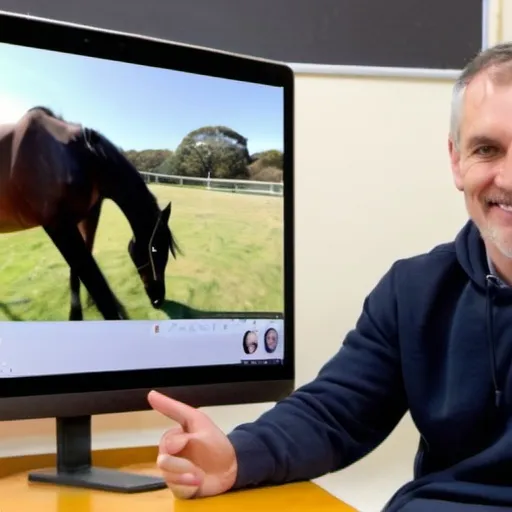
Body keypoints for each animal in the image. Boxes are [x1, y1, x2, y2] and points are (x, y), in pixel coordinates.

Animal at [0, 106, 182, 320]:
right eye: (155, 250)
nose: (158, 299)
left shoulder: (87, 218)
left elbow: (77, 273)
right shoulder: (58, 225)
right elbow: (97, 286)